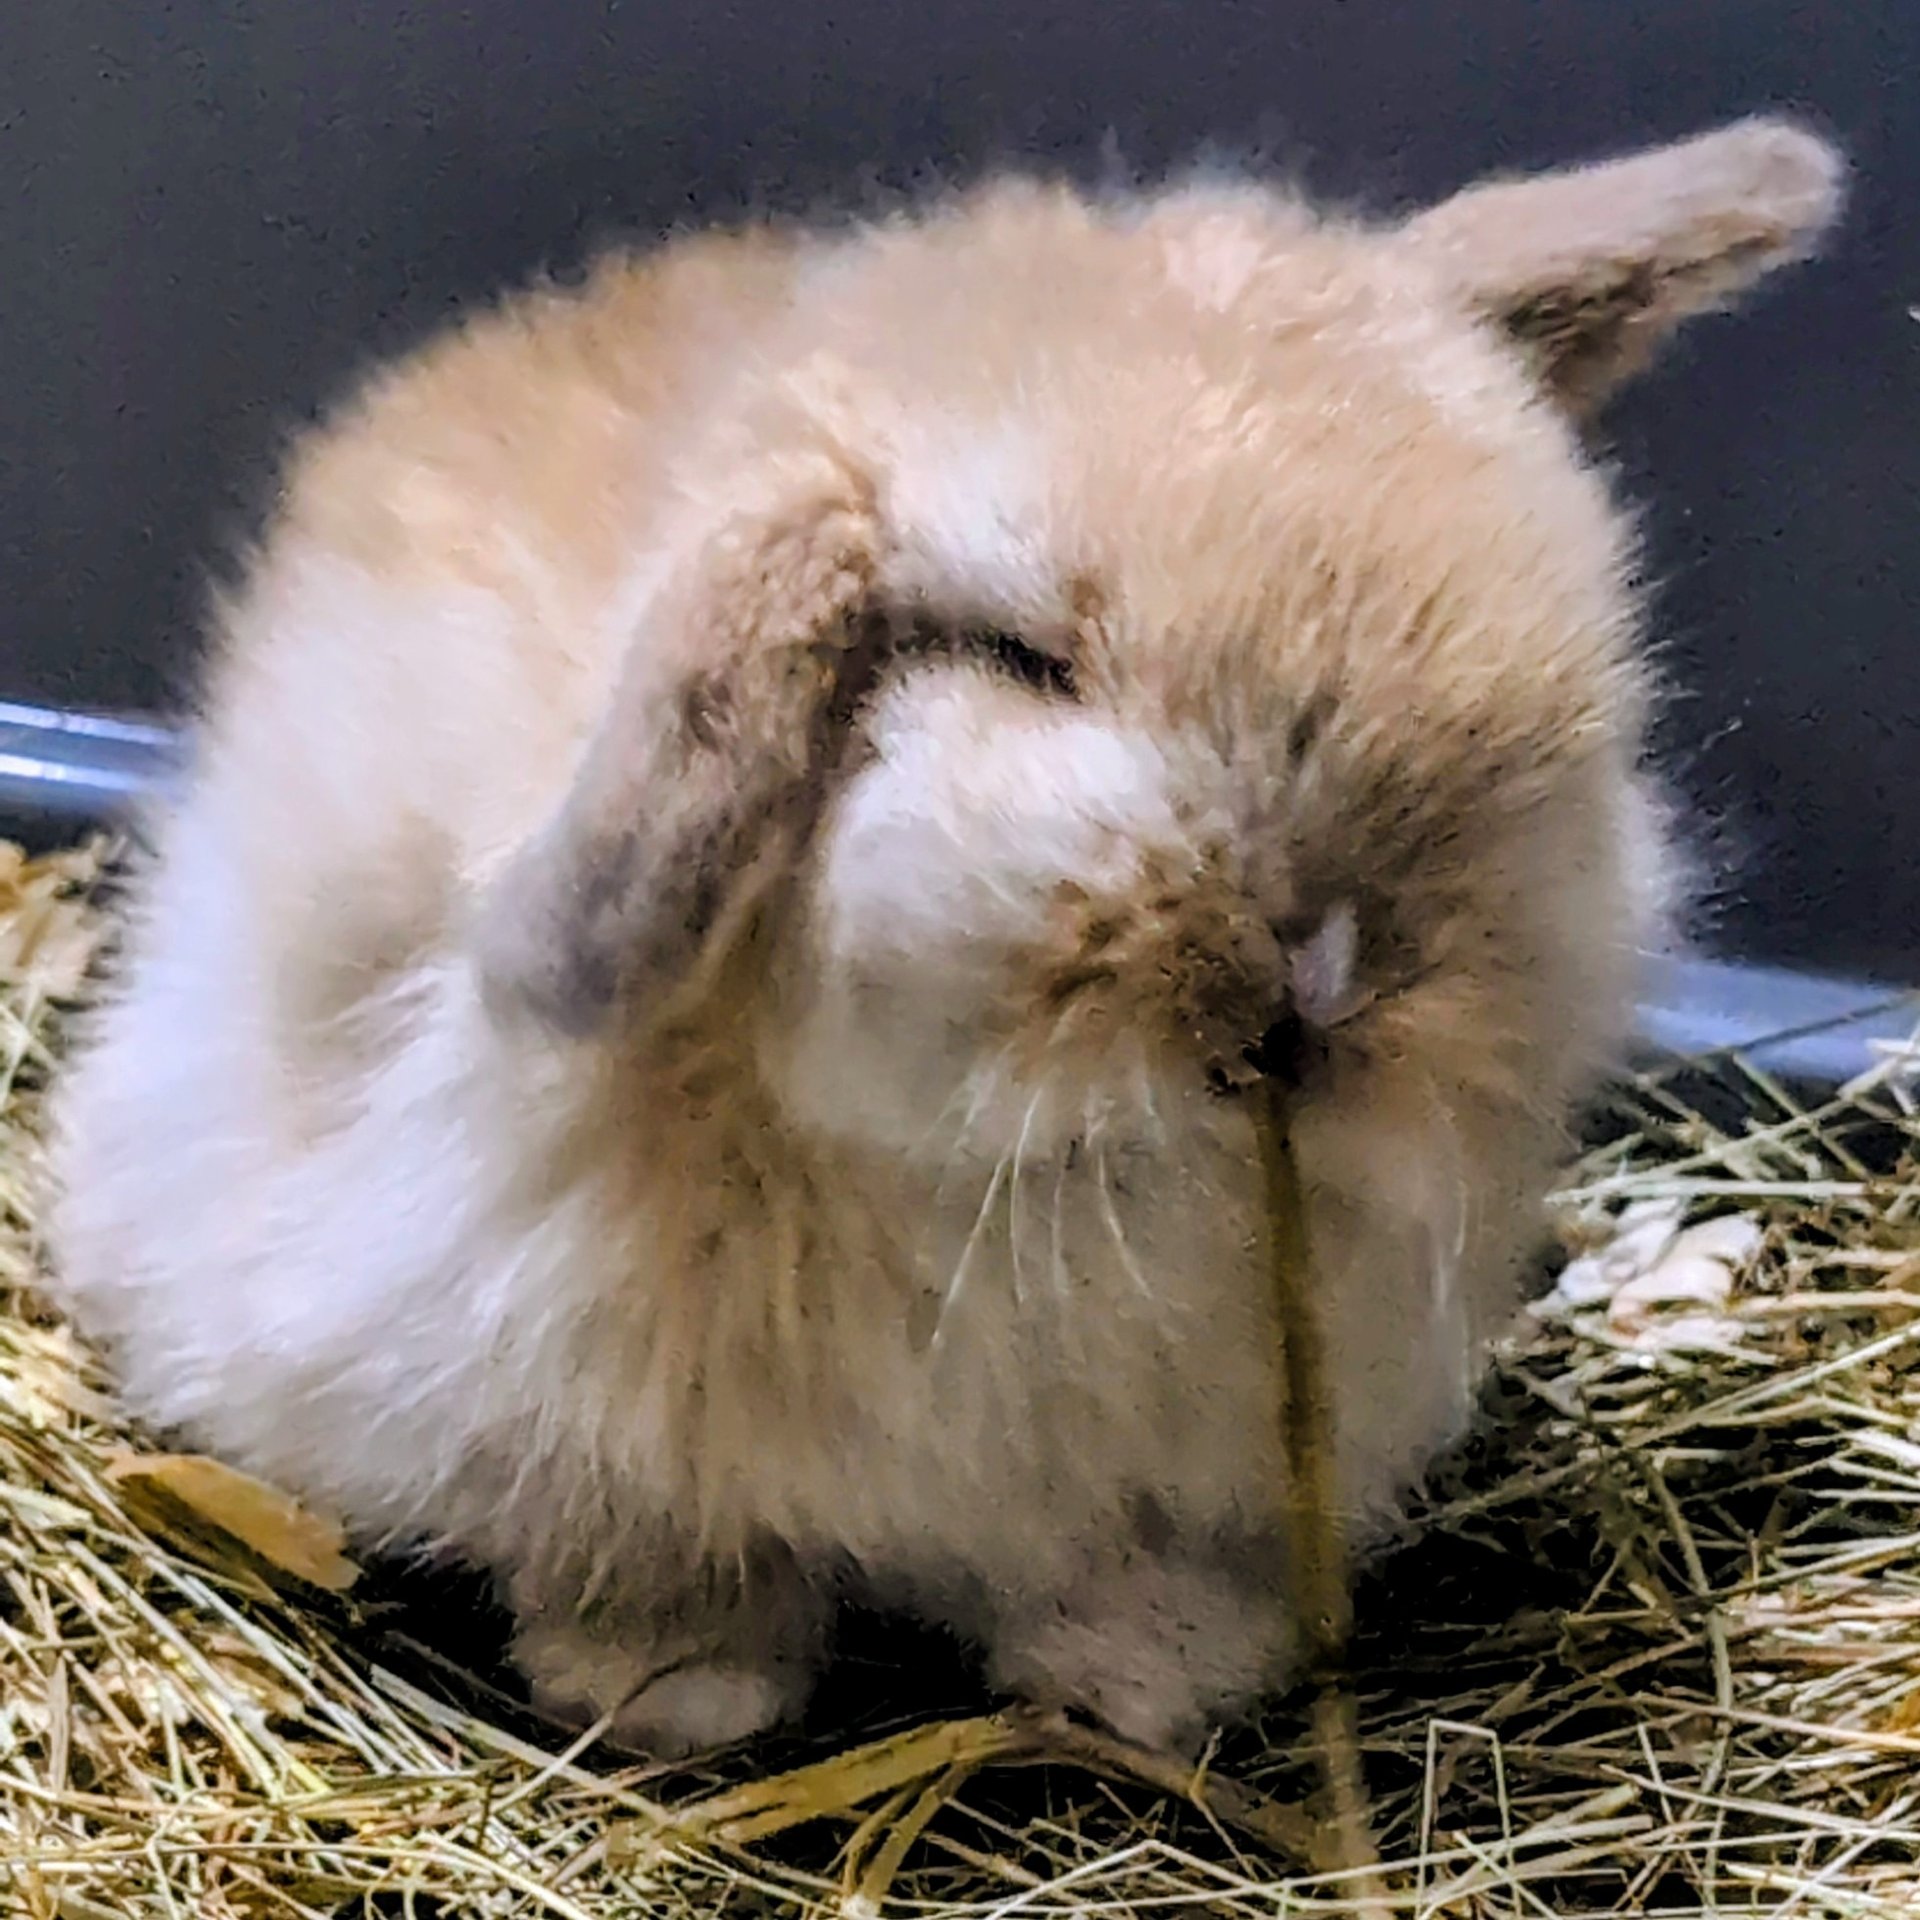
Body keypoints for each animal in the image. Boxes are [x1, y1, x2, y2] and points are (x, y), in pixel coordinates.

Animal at [47, 118, 1841, 1759]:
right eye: (1012, 657)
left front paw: (1150, 1677)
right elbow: (641, 1544)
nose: (1327, 973)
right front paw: (676, 1686)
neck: (1025, 1181)